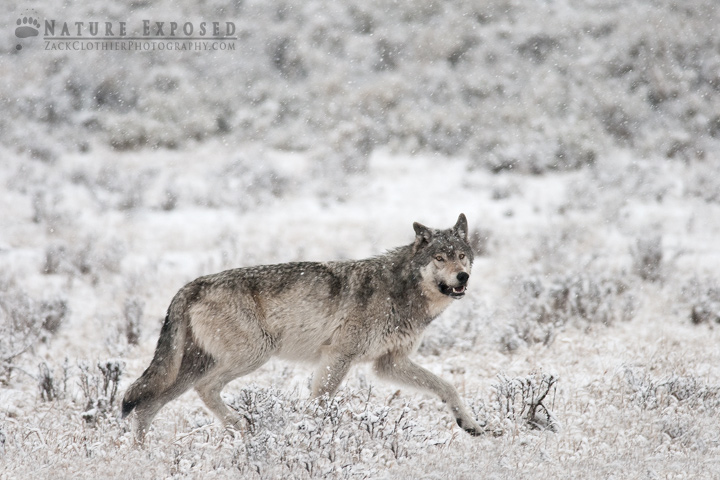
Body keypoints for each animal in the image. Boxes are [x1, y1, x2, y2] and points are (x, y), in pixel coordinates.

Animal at [122, 213, 483, 439]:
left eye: (462, 256)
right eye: (439, 258)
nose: (463, 277)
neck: (401, 291)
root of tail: (191, 286)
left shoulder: (389, 364)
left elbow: (446, 386)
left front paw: (471, 424)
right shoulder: (338, 356)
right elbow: (320, 405)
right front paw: (312, 439)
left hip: (194, 367)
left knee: (146, 406)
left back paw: (141, 456)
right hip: (253, 355)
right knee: (202, 390)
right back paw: (241, 425)